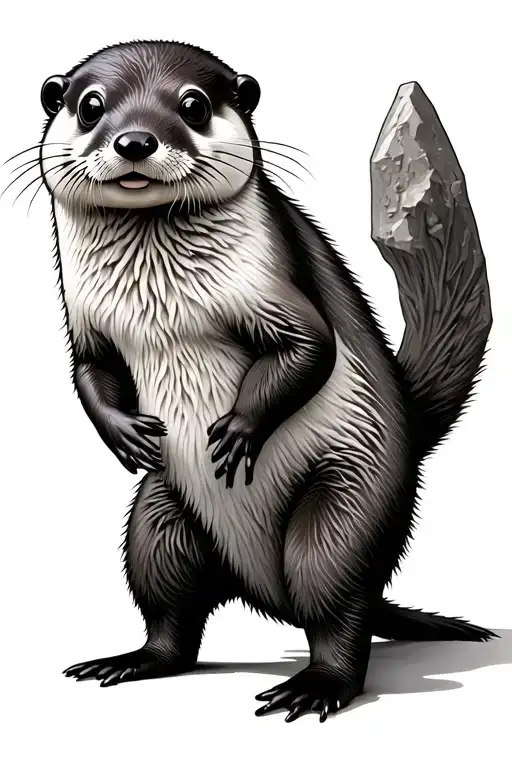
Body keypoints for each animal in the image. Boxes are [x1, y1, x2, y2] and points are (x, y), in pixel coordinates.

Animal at [35, 40, 493, 723]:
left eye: (193, 105)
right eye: (91, 106)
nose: (135, 140)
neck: (158, 298)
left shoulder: (273, 290)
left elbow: (309, 349)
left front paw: (239, 432)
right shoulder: (87, 322)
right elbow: (89, 372)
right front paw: (126, 436)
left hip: (348, 503)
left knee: (334, 601)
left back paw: (317, 684)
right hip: (159, 515)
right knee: (169, 605)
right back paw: (134, 660)